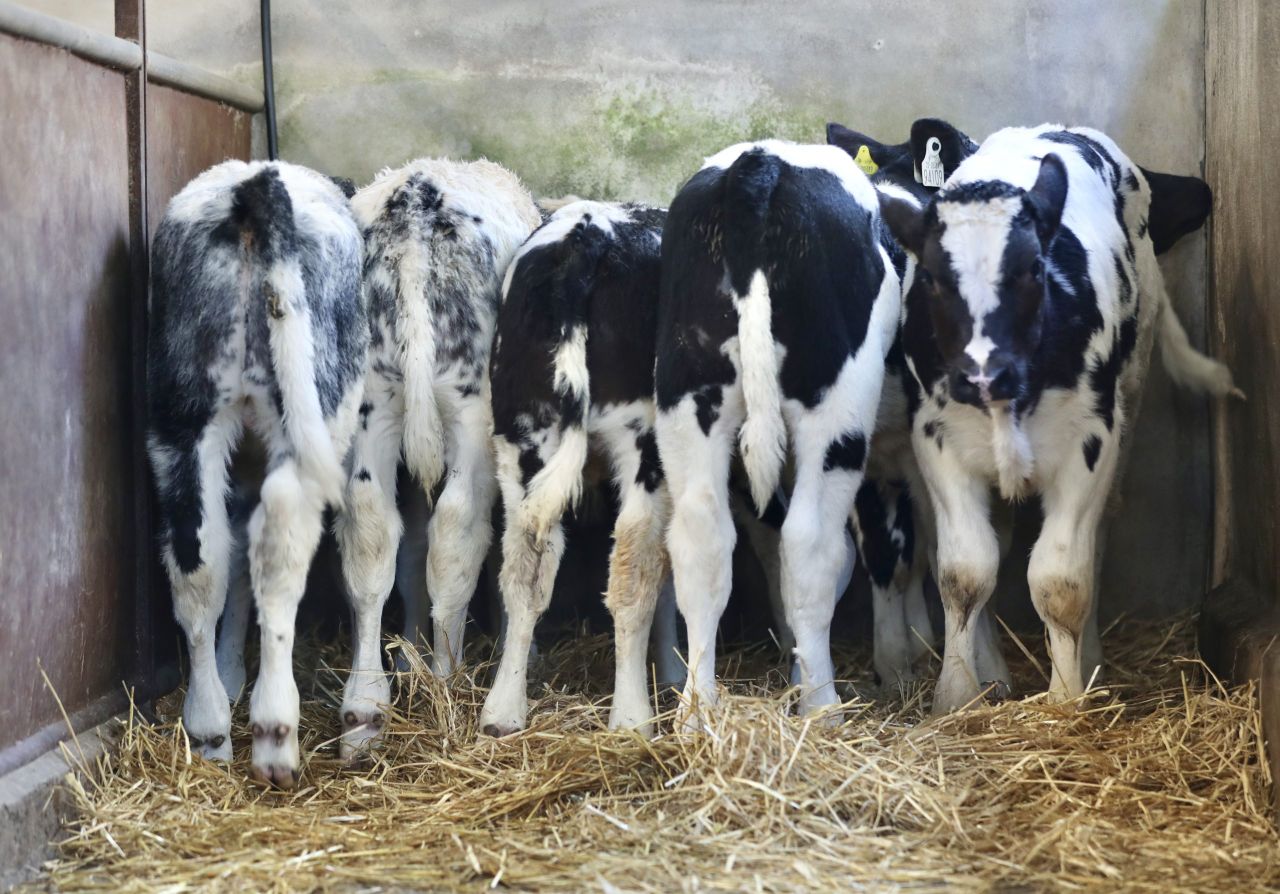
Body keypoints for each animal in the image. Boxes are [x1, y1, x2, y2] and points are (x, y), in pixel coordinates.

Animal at [147, 160, 367, 787]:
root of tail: (253, 187)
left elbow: (234, 559)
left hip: (182, 420)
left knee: (197, 559)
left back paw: (209, 727)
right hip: (311, 414)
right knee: (282, 554)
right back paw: (274, 736)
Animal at [334, 158, 541, 761]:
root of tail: (416, 202)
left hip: (371, 401)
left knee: (372, 534)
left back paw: (364, 707)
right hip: (472, 408)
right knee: (457, 531)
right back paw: (447, 679)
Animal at [656, 140, 901, 727]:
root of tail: (761, 165)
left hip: (687, 393)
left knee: (701, 539)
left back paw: (697, 711)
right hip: (836, 406)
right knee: (812, 545)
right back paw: (821, 706)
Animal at [873, 124, 1240, 713]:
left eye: (1033, 269)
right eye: (931, 277)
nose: (982, 373)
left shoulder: (1089, 444)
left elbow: (1061, 580)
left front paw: (1067, 700)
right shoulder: (936, 439)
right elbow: (964, 571)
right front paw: (957, 697)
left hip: (1129, 403)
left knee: (1098, 539)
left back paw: (1088, 661)